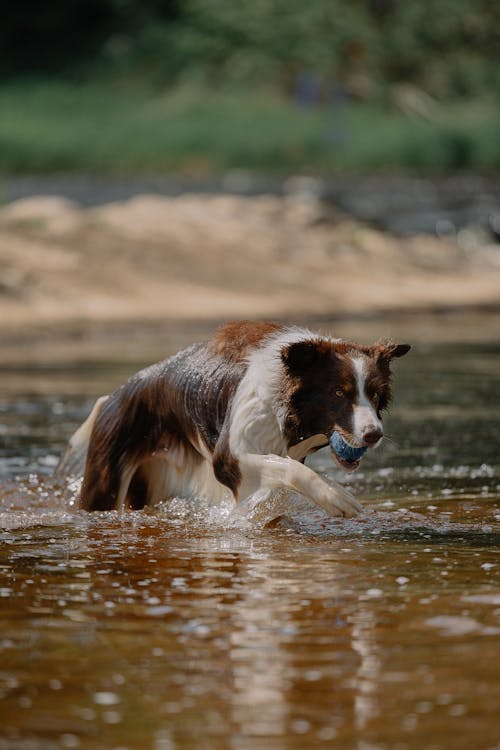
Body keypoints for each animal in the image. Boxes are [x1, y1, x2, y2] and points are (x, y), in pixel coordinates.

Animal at [59, 320, 410, 520]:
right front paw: (335, 496)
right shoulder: (228, 458)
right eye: (339, 392)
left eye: (376, 395)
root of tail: (111, 397)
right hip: (106, 480)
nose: (374, 435)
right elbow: (287, 468)